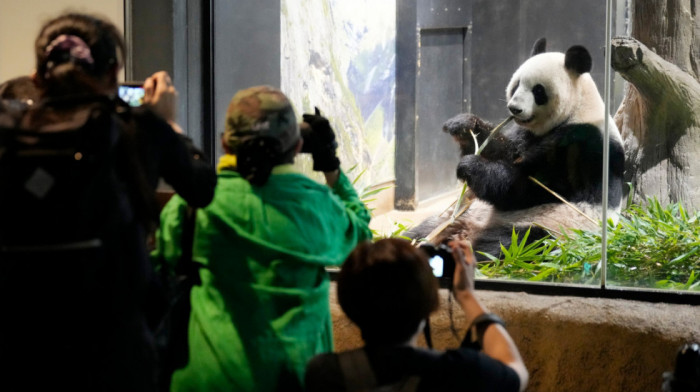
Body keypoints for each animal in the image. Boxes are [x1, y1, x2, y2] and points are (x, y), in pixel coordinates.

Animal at [408, 38, 628, 260]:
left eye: (538, 91)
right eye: (516, 85)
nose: (514, 108)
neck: (578, 109)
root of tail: (467, 230)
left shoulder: (583, 146)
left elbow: (530, 188)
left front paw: (471, 167)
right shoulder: (526, 134)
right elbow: (508, 151)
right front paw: (464, 126)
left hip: (550, 227)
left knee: (512, 243)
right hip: (462, 214)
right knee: (424, 229)